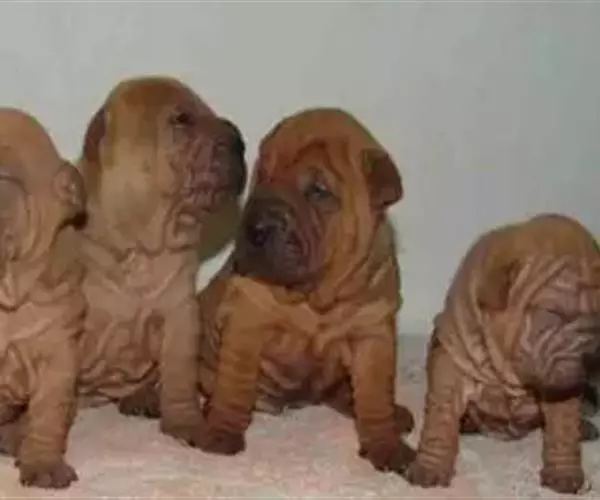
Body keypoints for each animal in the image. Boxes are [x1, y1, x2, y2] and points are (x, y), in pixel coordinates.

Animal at [75, 76, 246, 445]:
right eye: (182, 119)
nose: (239, 140)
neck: (142, 248)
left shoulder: (180, 314)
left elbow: (180, 379)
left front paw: (186, 424)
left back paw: (143, 398)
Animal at [405, 213, 600, 494]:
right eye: (552, 313)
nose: (593, 359)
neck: (508, 368)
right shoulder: (453, 360)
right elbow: (439, 421)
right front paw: (429, 468)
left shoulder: (561, 383)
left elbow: (563, 428)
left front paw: (564, 474)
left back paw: (584, 426)